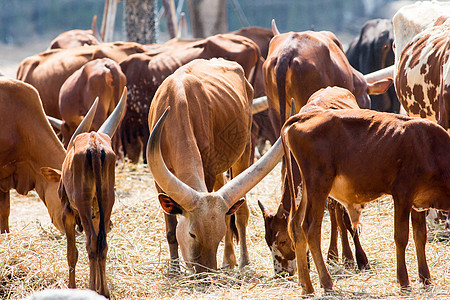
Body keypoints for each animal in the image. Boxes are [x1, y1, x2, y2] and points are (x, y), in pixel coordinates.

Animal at [41, 89, 126, 298]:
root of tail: (94, 145)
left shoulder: (68, 213)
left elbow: (72, 253)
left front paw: (72, 287)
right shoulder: (97, 214)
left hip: (82, 203)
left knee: (91, 242)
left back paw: (92, 289)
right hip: (106, 201)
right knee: (101, 243)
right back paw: (103, 291)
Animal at [146, 58, 284, 272]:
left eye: (217, 237)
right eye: (192, 234)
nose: (206, 274)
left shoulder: (208, 172)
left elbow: (228, 219)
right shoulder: (159, 182)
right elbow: (171, 230)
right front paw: (174, 269)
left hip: (244, 150)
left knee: (240, 214)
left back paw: (239, 261)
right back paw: (228, 260)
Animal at [284, 106, 448, 294]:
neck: (429, 148)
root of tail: (304, 116)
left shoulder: (418, 201)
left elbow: (420, 236)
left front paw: (426, 279)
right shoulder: (402, 194)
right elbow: (401, 237)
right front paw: (404, 281)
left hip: (308, 188)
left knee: (296, 226)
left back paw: (307, 287)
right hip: (319, 184)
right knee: (311, 228)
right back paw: (326, 282)